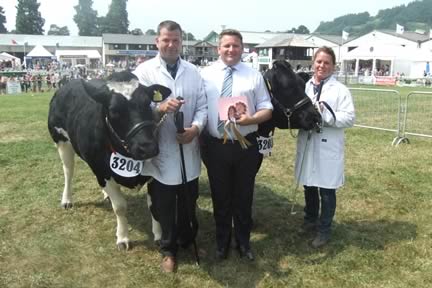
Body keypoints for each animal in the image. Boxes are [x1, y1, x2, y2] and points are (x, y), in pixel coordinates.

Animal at [46, 70, 170, 250]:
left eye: (147, 103)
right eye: (113, 111)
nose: (147, 147)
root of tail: (68, 83)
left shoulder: (153, 175)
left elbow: (155, 205)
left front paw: (159, 235)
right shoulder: (101, 170)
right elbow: (119, 207)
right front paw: (123, 238)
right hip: (61, 141)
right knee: (68, 171)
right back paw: (67, 200)